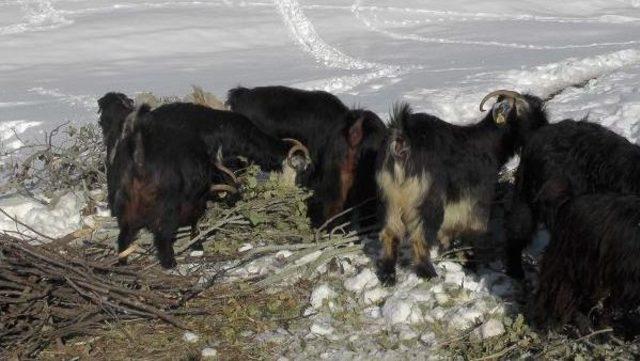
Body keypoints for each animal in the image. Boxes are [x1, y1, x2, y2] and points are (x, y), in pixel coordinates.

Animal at [378, 91, 548, 286]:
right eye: (527, 110)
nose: (545, 128)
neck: (488, 144)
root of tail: (401, 138)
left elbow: (448, 231)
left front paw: (448, 252)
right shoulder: (478, 198)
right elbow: (474, 230)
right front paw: (470, 262)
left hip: (392, 200)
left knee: (389, 234)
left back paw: (388, 275)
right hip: (429, 201)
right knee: (419, 237)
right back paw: (428, 273)